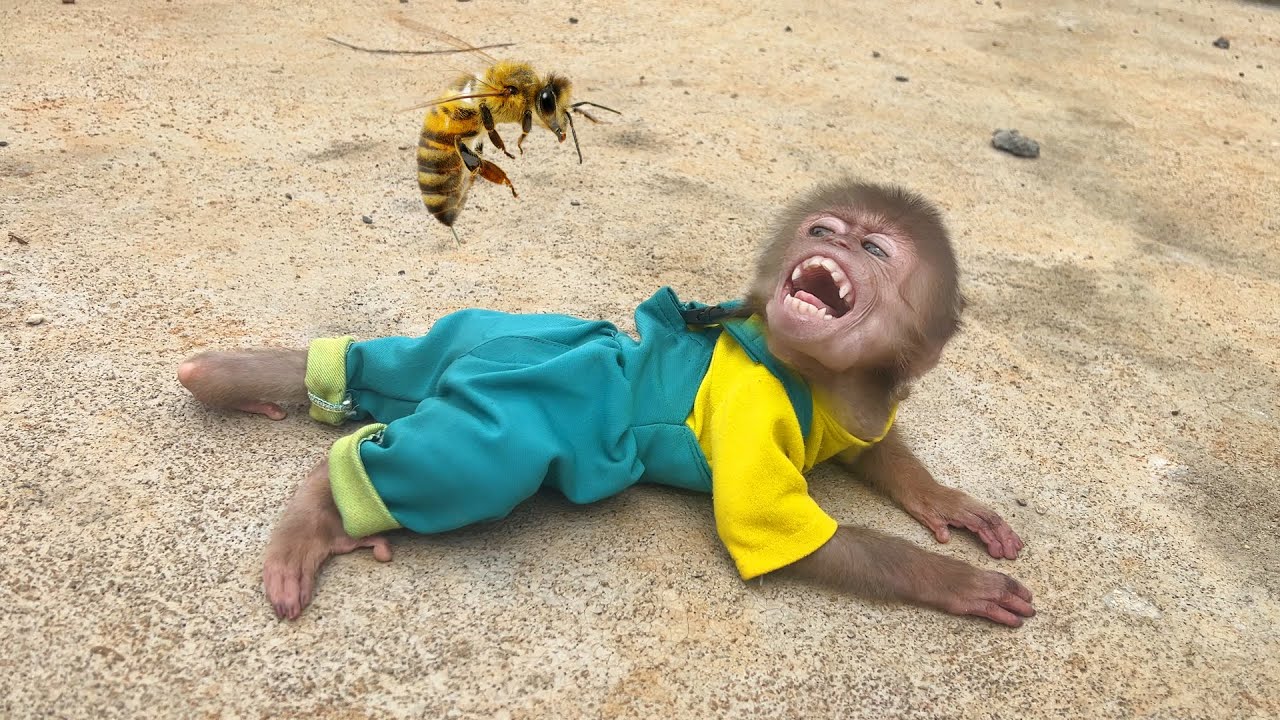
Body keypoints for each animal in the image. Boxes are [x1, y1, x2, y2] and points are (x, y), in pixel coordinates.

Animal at [177, 179, 1034, 627]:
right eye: (825, 229)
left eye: (877, 248)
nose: (838, 242)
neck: (817, 379)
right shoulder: (754, 415)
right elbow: (796, 538)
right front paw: (953, 583)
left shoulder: (858, 411)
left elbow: (878, 448)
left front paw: (945, 501)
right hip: (524, 402)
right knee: (452, 461)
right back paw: (322, 507)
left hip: (476, 334)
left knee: (384, 359)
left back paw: (243, 378)